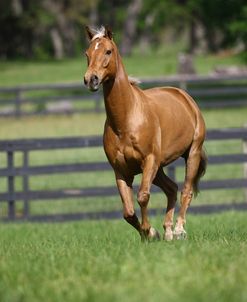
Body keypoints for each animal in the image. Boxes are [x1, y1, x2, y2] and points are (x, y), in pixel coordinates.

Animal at [83, 26, 206, 241]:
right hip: (159, 168)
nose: (91, 79)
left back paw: (179, 230)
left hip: (191, 154)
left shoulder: (148, 161)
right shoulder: (121, 171)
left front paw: (149, 230)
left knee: (186, 190)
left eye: (108, 51)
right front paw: (151, 233)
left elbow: (142, 197)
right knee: (172, 189)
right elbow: (128, 212)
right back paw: (167, 231)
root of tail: (184, 96)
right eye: (87, 53)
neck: (126, 121)